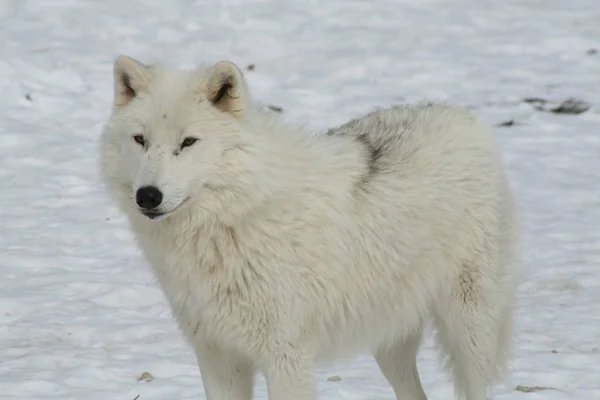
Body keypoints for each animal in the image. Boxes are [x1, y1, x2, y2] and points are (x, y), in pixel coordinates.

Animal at [98, 55, 520, 400]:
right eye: (140, 140)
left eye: (188, 142)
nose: (147, 196)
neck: (230, 223)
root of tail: (464, 115)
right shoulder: (218, 357)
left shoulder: (287, 356)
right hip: (388, 341)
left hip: (469, 326)